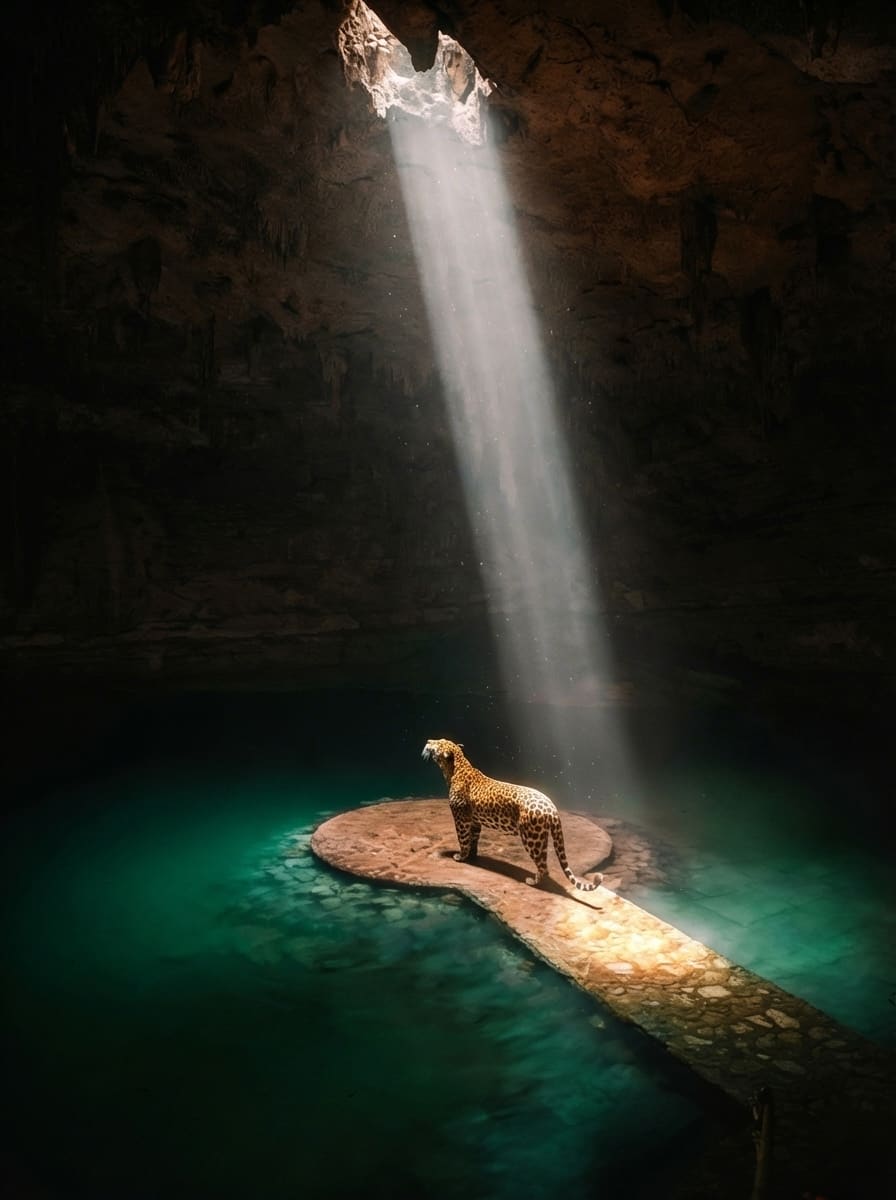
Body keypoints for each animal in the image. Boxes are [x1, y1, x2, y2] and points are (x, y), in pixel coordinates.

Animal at [422, 738, 601, 892]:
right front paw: (472, 856)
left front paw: (461, 856)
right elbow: (474, 839)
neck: (455, 768)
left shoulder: (462, 819)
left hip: (532, 838)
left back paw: (532, 882)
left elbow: (463, 839)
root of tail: (552, 807)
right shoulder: (474, 822)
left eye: (438, 743)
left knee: (543, 866)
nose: (428, 741)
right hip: (541, 837)